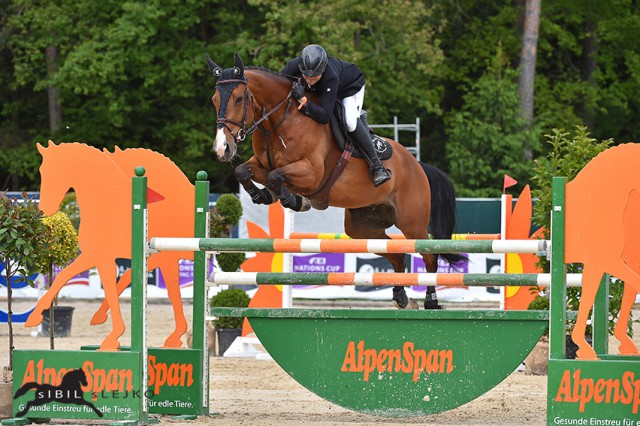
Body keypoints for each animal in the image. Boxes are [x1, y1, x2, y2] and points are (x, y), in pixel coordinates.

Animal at [28, 143, 192, 350]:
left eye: (55, 171)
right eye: (42, 171)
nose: (45, 208)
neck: (107, 203)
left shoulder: (115, 258)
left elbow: (119, 289)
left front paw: (113, 337)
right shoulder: (95, 255)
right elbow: (64, 276)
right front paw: (34, 317)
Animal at [205, 53, 464, 310]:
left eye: (239, 98)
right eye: (214, 100)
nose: (222, 148)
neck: (282, 120)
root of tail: (417, 165)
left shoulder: (312, 173)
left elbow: (275, 176)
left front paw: (295, 201)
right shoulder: (260, 163)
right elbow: (243, 171)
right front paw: (263, 195)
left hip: (412, 223)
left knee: (429, 256)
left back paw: (431, 300)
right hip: (363, 227)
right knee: (397, 254)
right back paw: (402, 297)